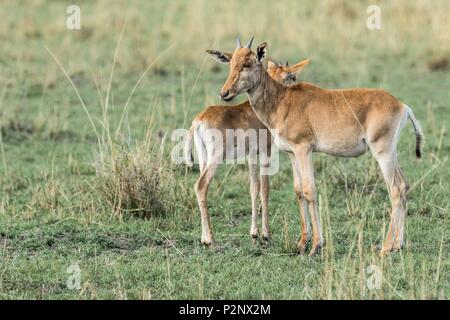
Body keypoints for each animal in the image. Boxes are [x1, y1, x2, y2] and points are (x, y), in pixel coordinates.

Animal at [185, 42, 310, 246]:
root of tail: (199, 120)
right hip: (215, 159)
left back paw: (203, 238)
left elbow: (254, 187)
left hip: (203, 157)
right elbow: (265, 188)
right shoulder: (266, 151)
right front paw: (266, 234)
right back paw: (210, 239)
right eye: (292, 77)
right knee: (201, 186)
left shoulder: (251, 154)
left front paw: (254, 233)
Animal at [214, 36, 422, 256]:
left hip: (382, 152)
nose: (224, 93)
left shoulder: (304, 149)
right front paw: (301, 243)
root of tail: (402, 106)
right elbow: (299, 190)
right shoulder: (292, 153)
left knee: (396, 189)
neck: (283, 99)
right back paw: (398, 244)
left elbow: (310, 190)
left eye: (248, 63)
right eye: (230, 62)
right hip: (391, 153)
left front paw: (315, 246)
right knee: (404, 185)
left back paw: (385, 247)